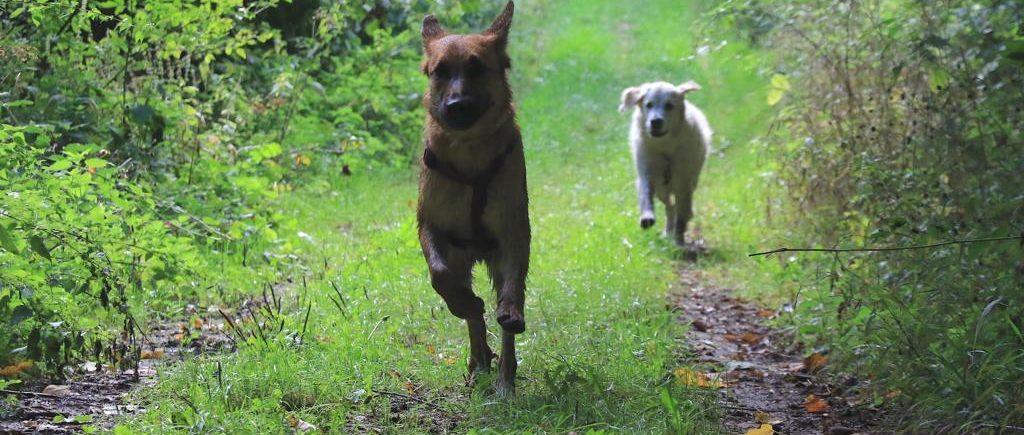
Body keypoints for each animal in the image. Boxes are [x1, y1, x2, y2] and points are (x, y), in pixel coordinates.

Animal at [415, 0, 532, 397]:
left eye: (477, 68)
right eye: (439, 71)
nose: (456, 105)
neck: (469, 155)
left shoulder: (514, 234)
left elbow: (511, 292)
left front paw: (509, 313)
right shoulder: (430, 227)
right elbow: (440, 277)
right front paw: (464, 304)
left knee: (504, 323)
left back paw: (504, 378)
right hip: (461, 256)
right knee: (473, 317)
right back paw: (478, 356)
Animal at [614, 79, 712, 245]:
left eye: (669, 105)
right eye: (649, 104)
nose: (656, 122)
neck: (664, 147)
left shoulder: (683, 182)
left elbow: (682, 214)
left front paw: (679, 240)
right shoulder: (646, 174)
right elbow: (646, 195)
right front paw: (647, 217)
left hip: (690, 182)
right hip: (662, 190)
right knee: (669, 206)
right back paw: (667, 231)